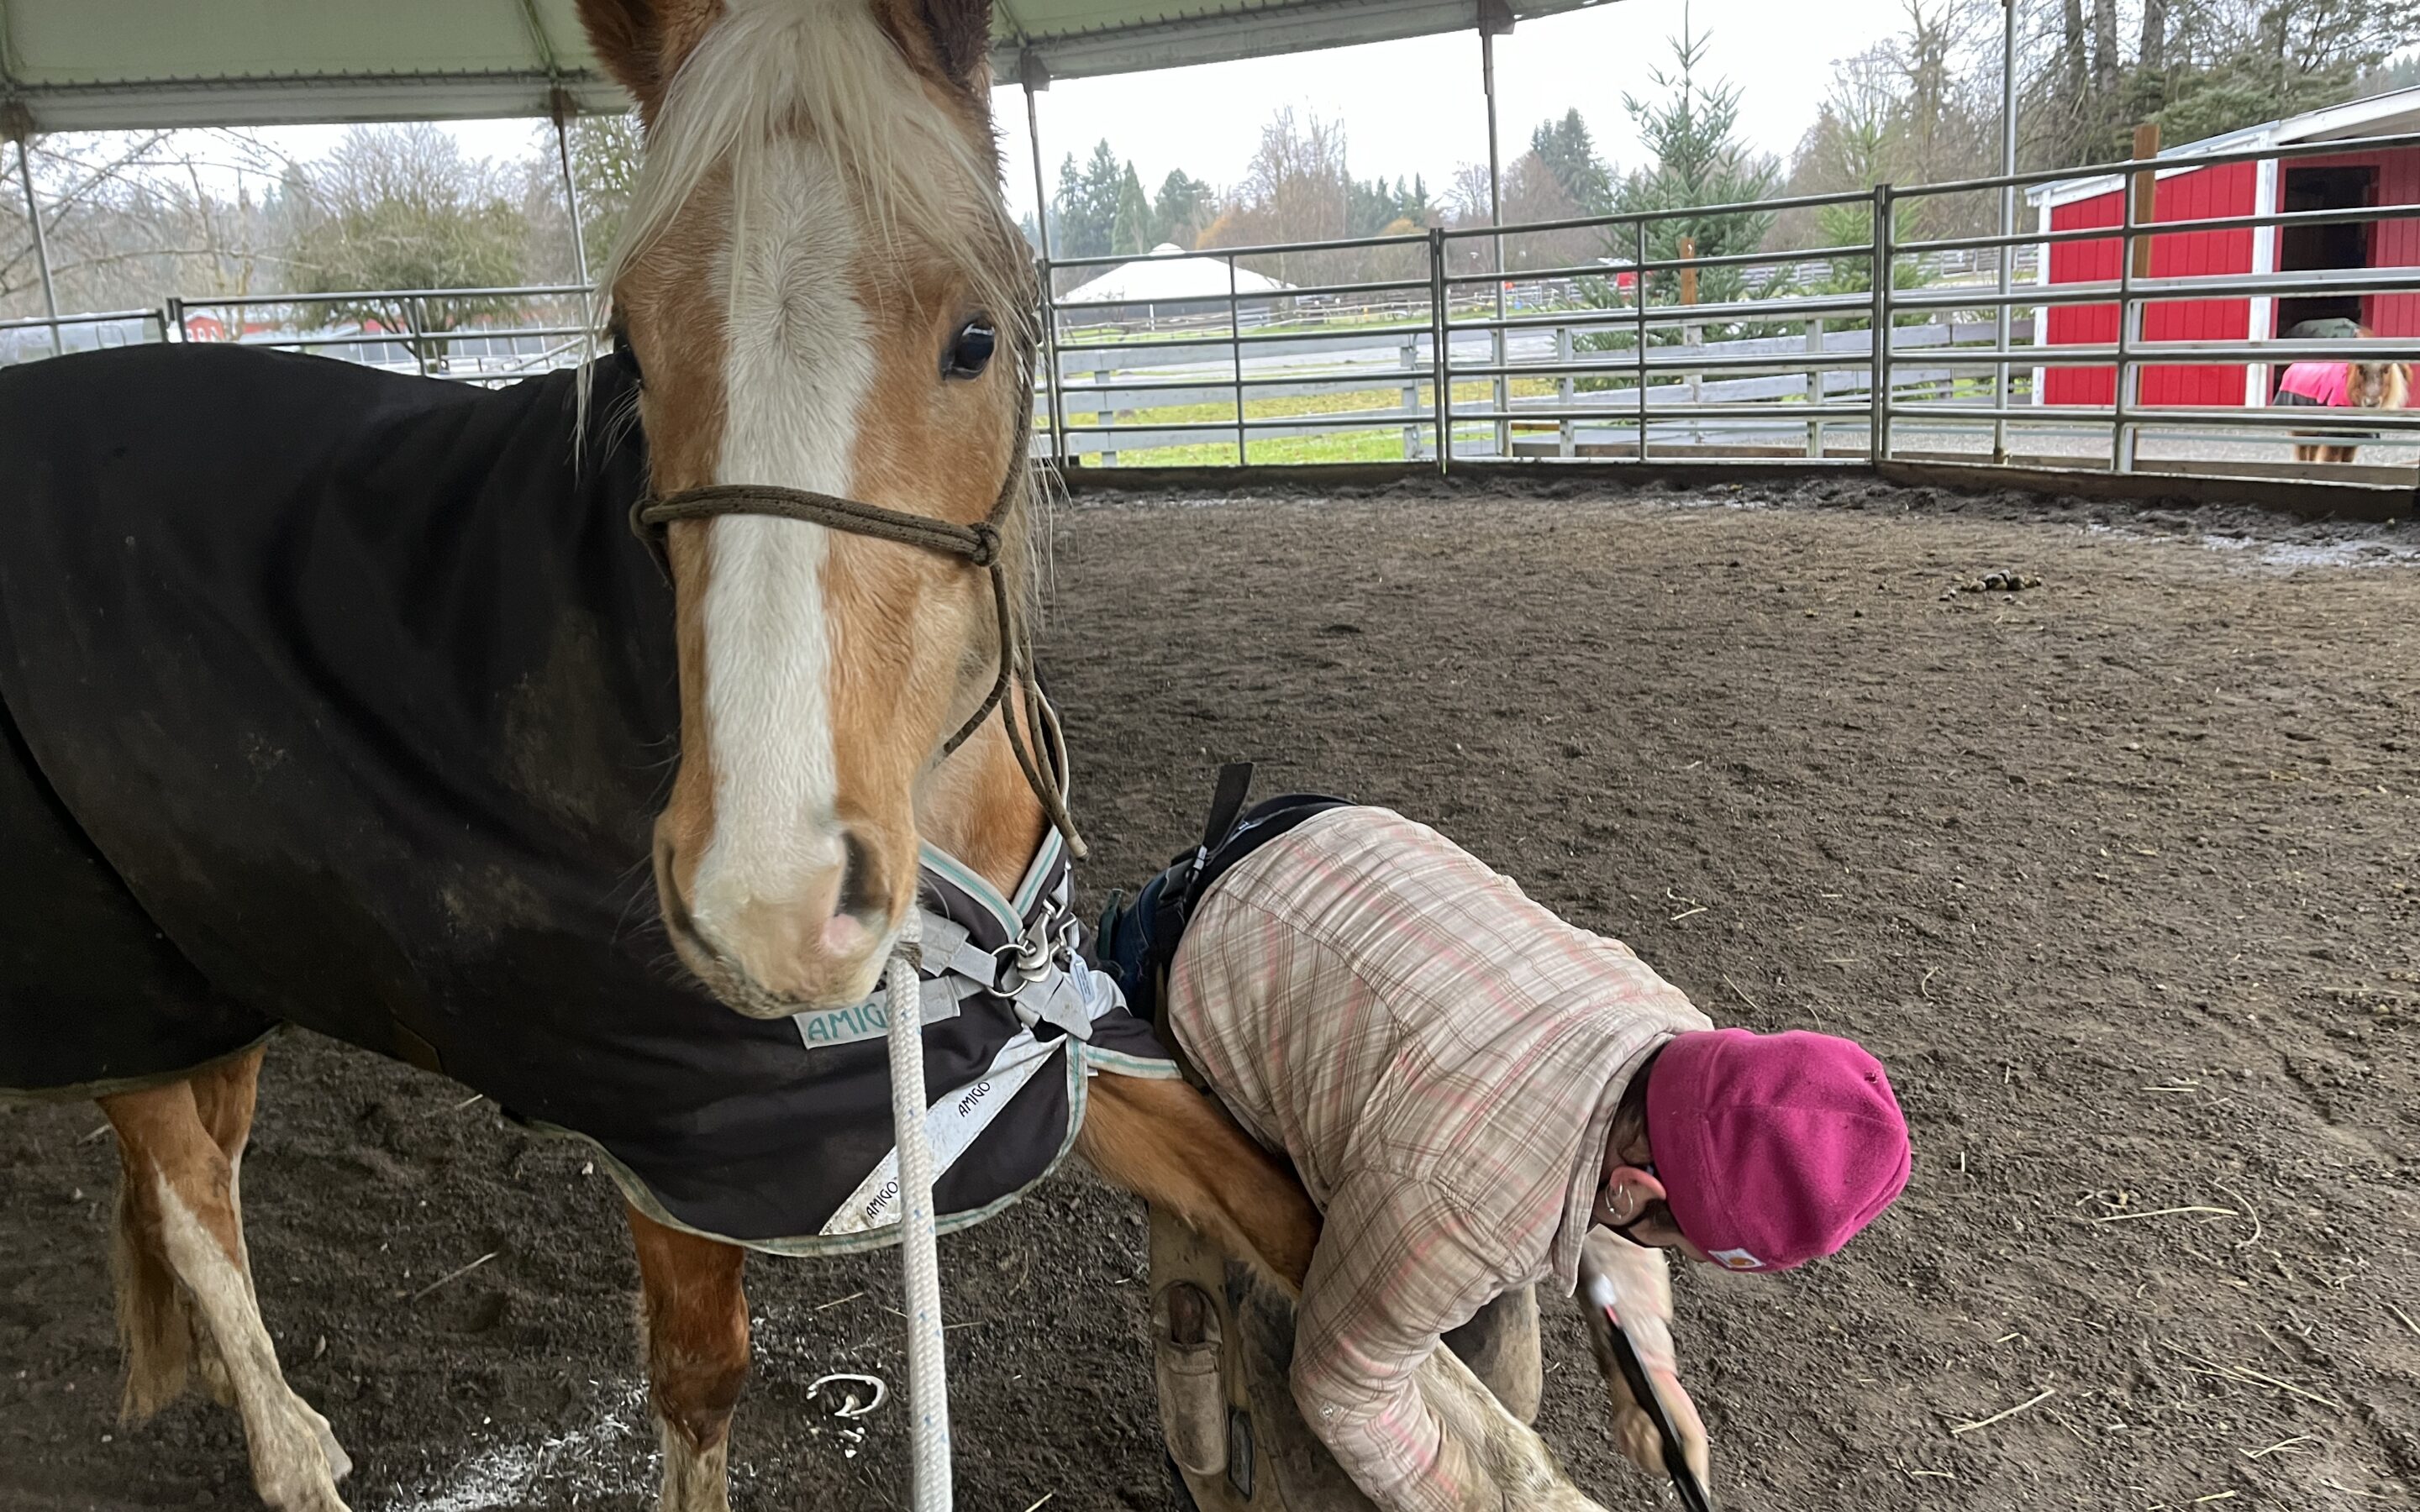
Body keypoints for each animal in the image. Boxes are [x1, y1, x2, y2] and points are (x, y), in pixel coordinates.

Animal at [0, 3, 1616, 1509]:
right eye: (632, 352)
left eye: (975, 335)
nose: (767, 903)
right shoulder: (686, 1142)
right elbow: (698, 1389)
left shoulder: (1034, 1057)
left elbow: (1316, 1245)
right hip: (130, 993)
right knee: (190, 1204)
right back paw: (288, 1453)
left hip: (218, 971)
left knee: (203, 1187)